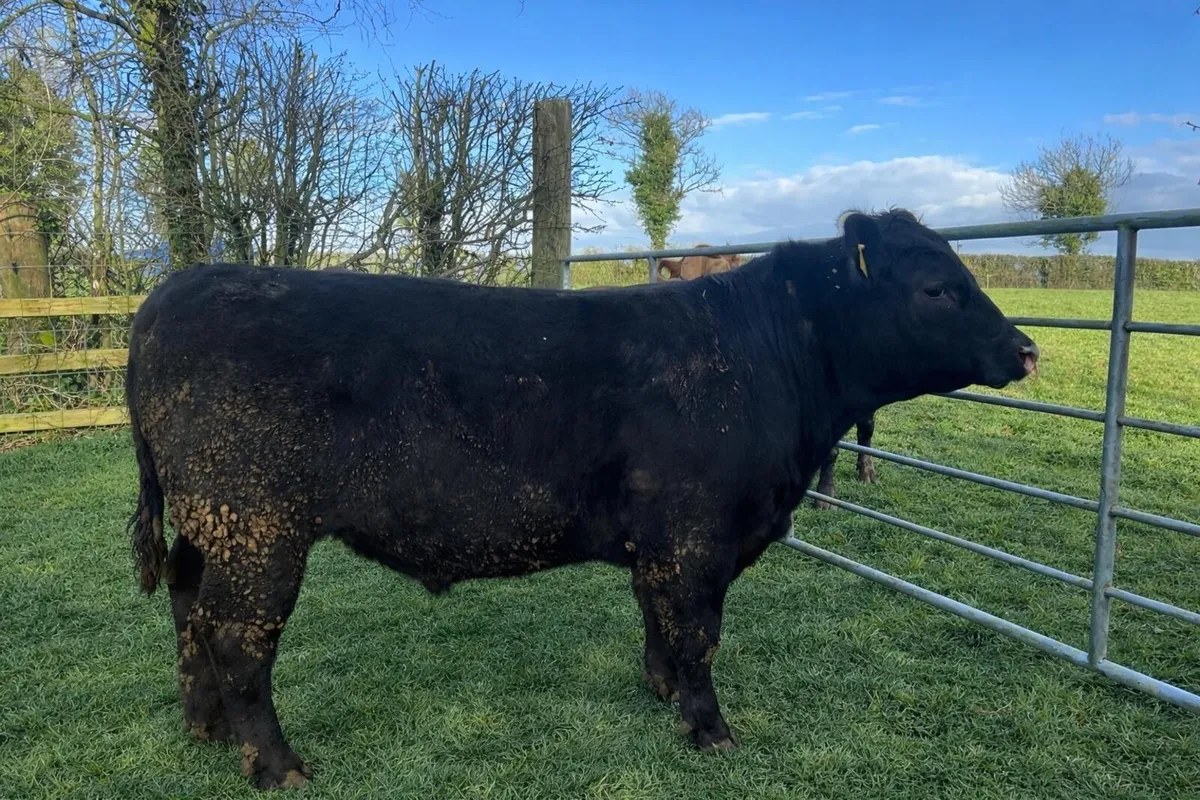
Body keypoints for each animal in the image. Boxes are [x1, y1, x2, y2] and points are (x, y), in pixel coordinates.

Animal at [125, 207, 1039, 789]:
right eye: (936, 289)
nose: (1026, 348)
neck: (767, 357)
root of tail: (173, 290)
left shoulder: (660, 540)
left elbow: (658, 619)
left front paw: (660, 690)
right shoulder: (697, 534)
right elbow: (699, 636)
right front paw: (710, 731)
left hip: (210, 528)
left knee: (186, 607)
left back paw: (204, 725)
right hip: (257, 527)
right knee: (239, 638)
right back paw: (278, 766)